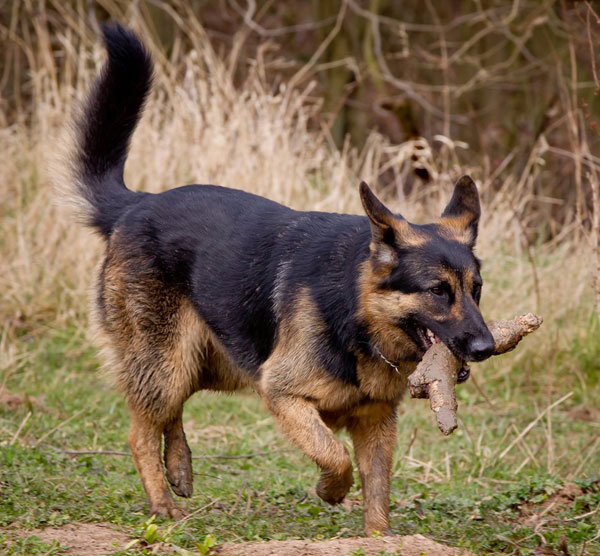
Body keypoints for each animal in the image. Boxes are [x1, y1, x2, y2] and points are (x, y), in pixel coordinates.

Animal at [69, 26, 492, 536]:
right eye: (437, 291)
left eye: (476, 289)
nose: (487, 347)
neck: (354, 314)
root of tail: (134, 204)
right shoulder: (283, 394)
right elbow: (335, 455)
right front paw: (331, 490)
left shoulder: (376, 423)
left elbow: (377, 490)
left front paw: (380, 537)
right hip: (167, 358)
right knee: (140, 430)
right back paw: (163, 503)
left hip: (206, 361)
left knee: (168, 413)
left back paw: (181, 468)